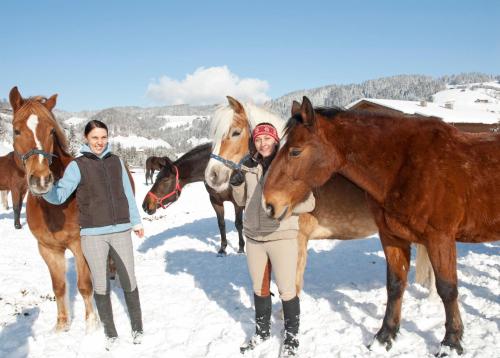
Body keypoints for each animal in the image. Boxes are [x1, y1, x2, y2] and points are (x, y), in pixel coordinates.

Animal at [8, 87, 96, 332]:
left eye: (51, 131)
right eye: (16, 131)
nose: (41, 180)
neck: (55, 208)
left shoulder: (79, 244)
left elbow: (84, 285)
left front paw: (91, 325)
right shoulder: (48, 249)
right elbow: (59, 286)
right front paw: (62, 325)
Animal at [264, 96, 498, 356]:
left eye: (295, 151)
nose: (269, 203)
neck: (406, 166)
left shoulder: (441, 238)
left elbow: (448, 289)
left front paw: (451, 342)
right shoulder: (392, 236)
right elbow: (395, 285)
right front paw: (385, 336)